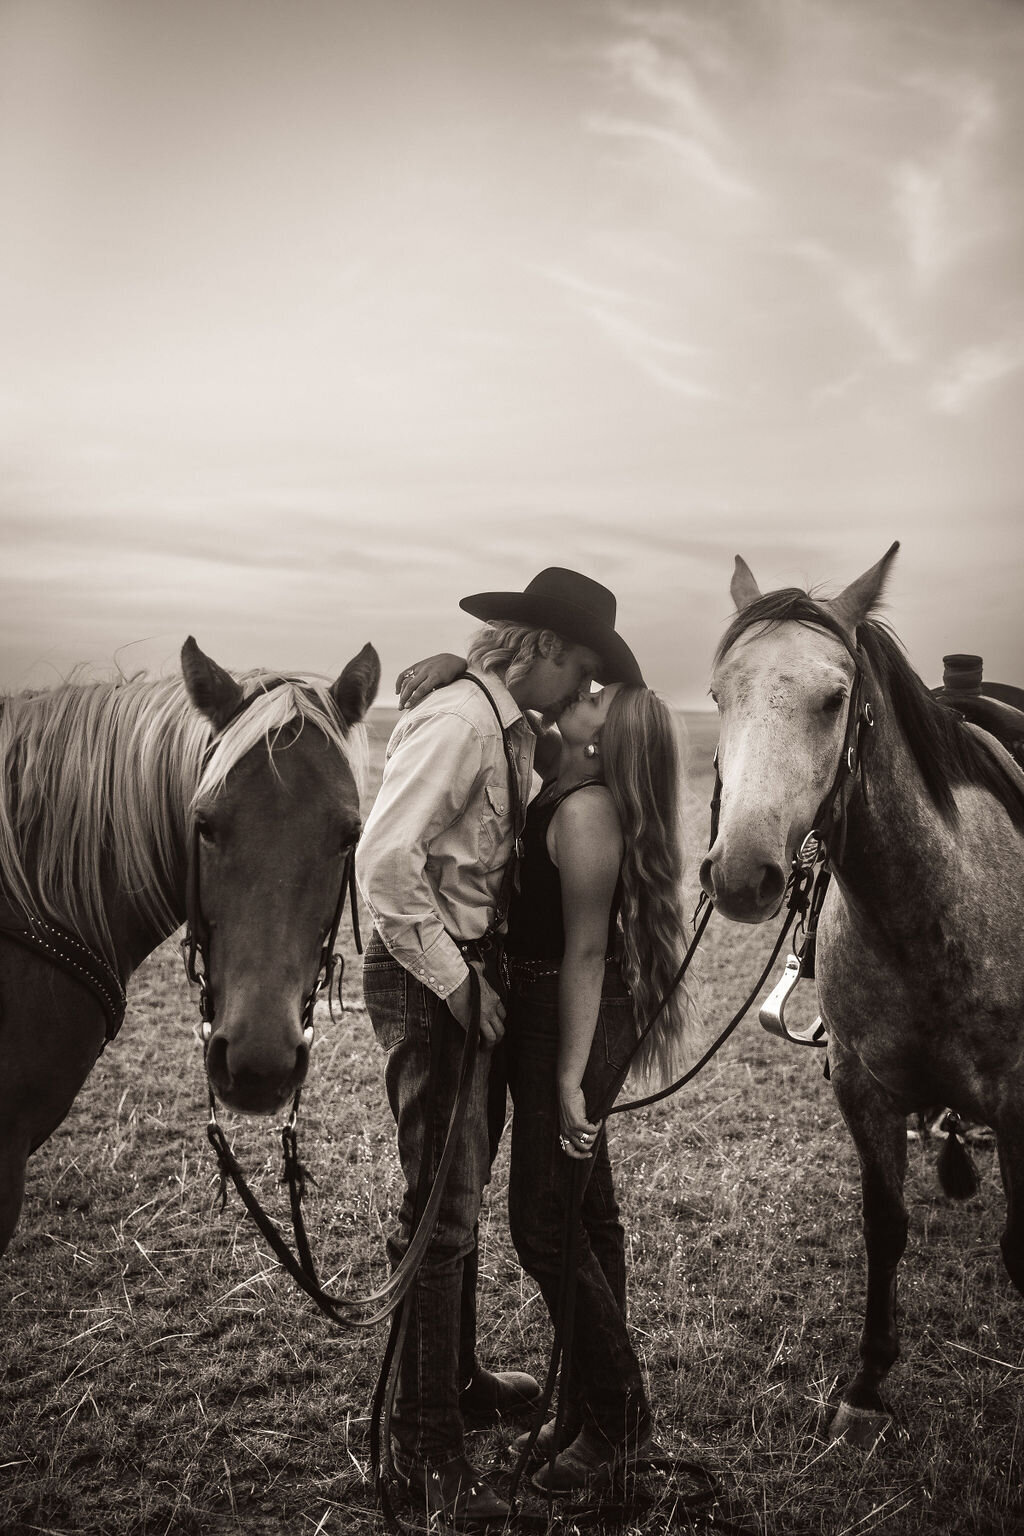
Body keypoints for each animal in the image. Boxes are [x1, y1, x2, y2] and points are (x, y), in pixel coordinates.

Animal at [700, 546, 1024, 1443]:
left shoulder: (1021, 1097)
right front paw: (868, 1384)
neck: (929, 910)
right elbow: (885, 1227)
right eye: (719, 694)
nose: (740, 874)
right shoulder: (864, 1087)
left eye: (834, 699)